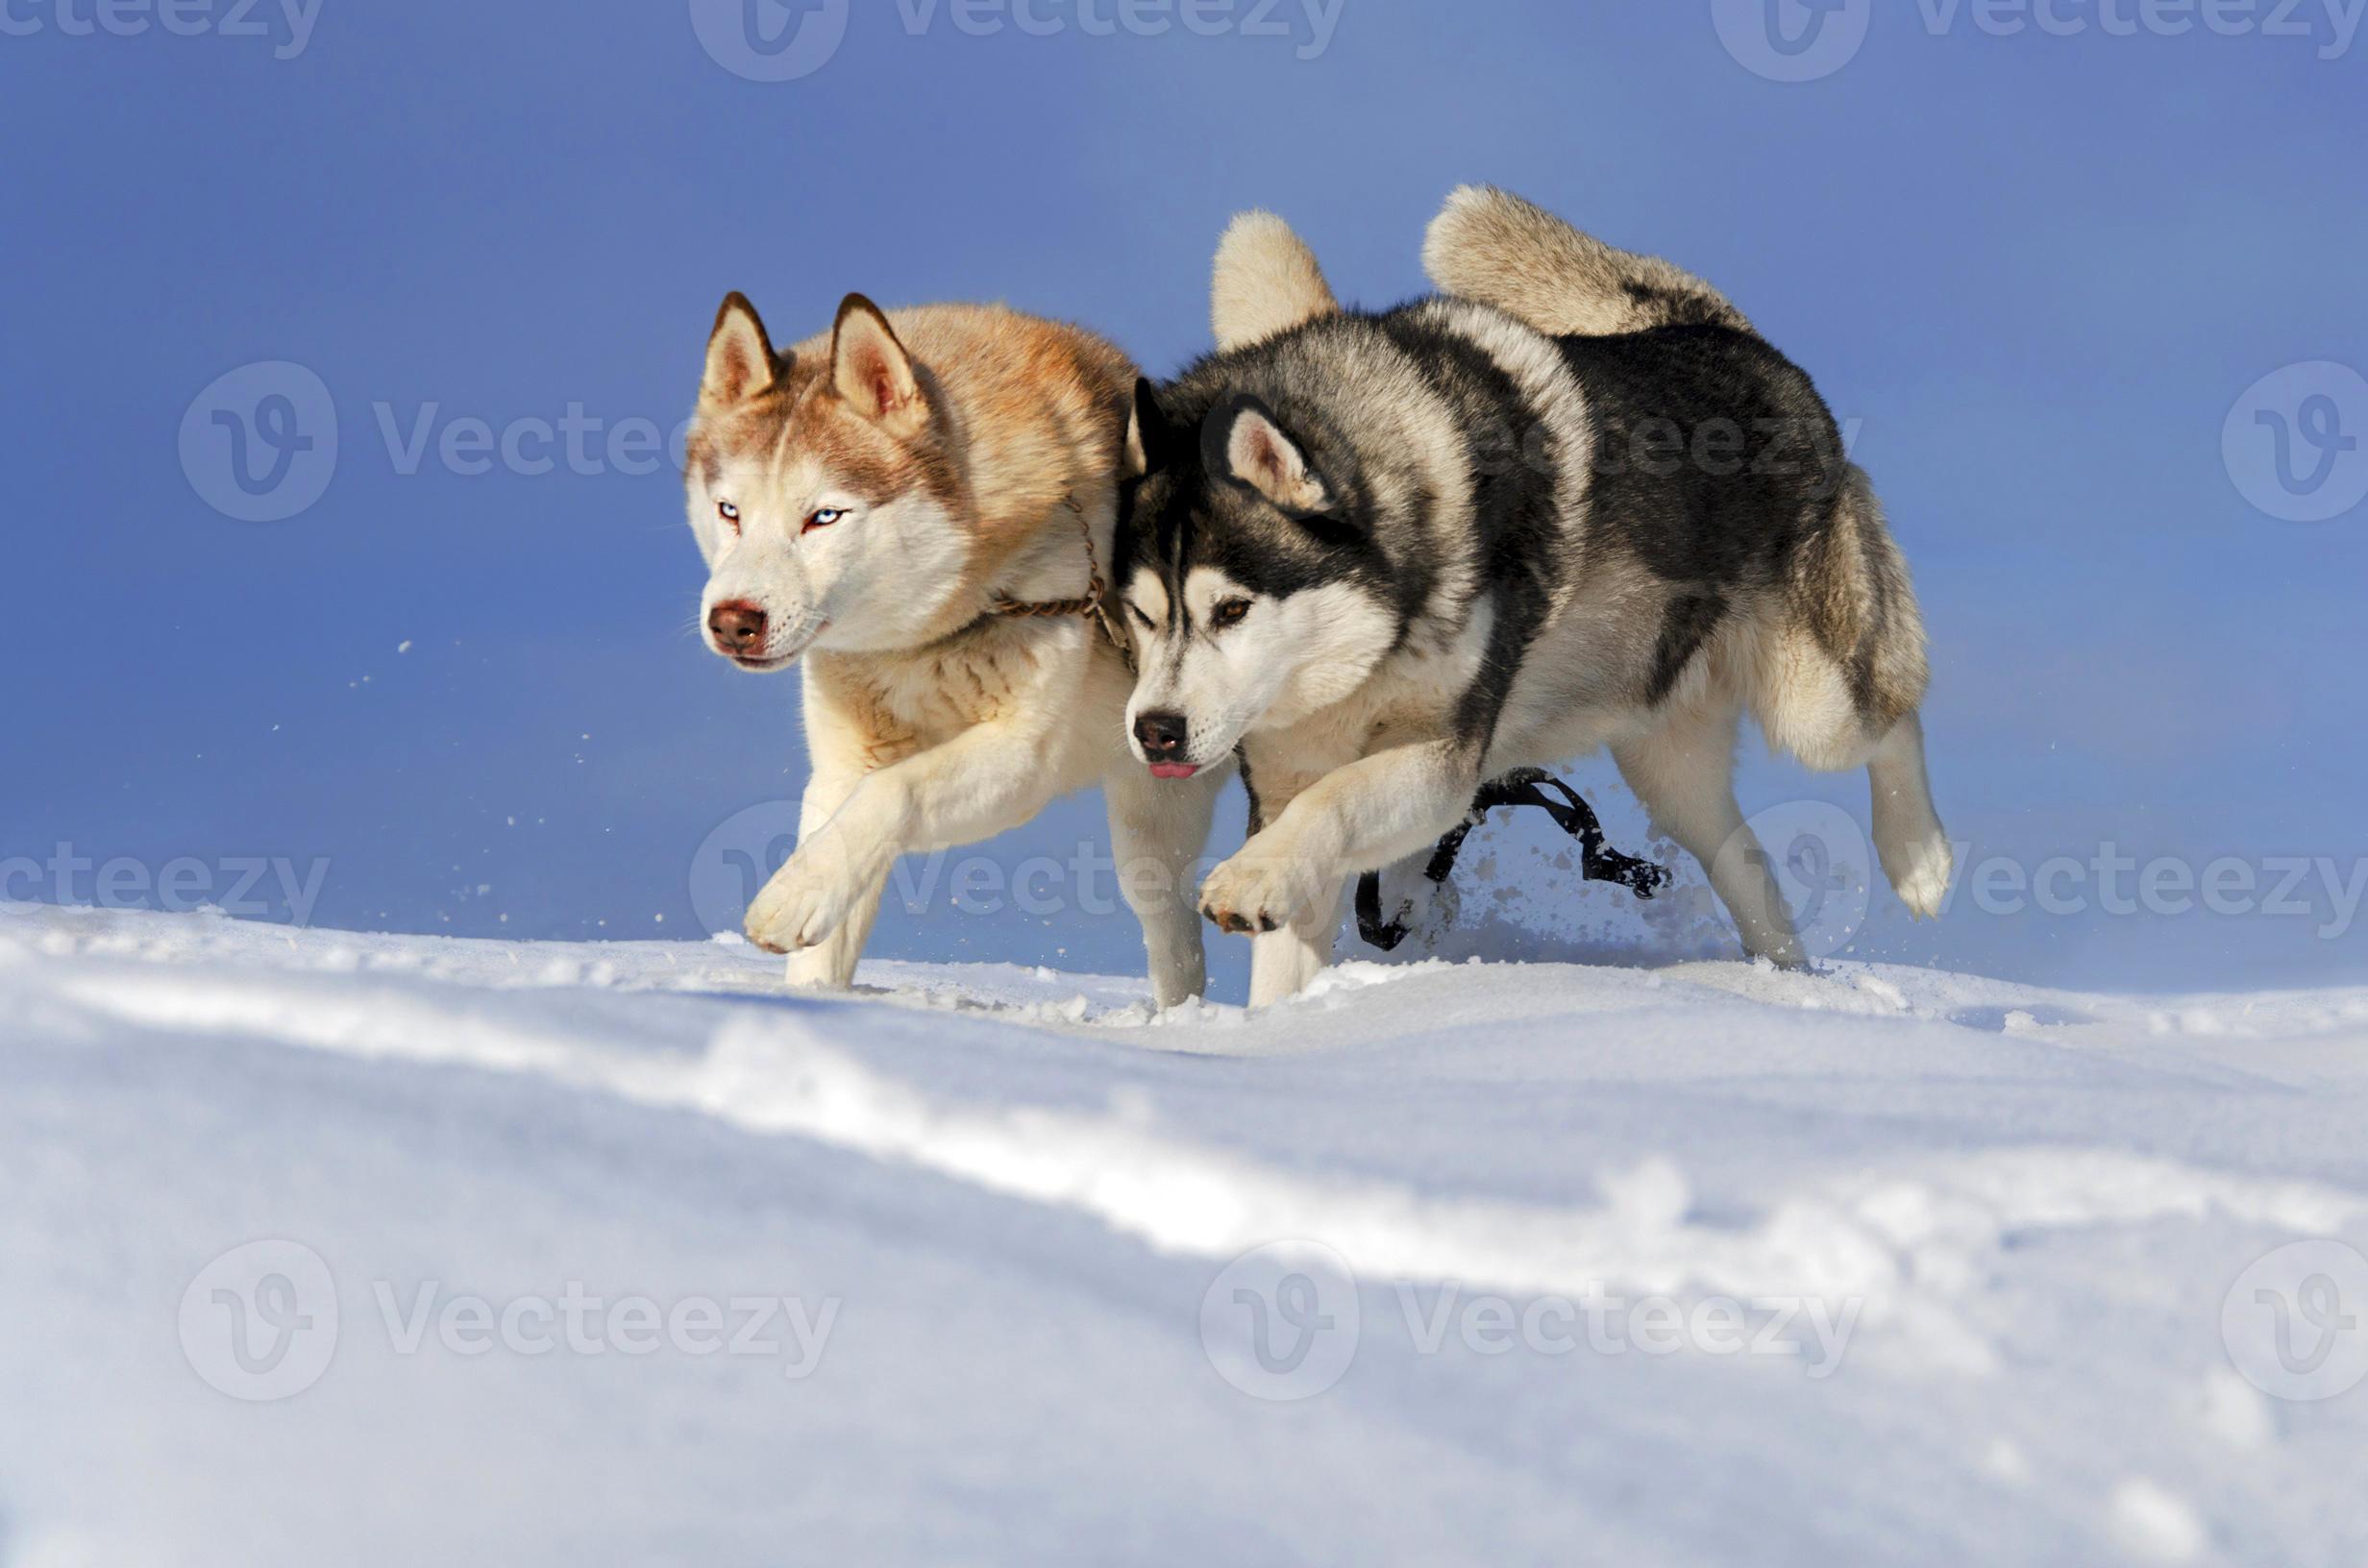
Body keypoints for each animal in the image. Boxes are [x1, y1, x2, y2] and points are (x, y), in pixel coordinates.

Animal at [1118, 186, 1951, 1009]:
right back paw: (1787, 986)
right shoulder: (1288, 775)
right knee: (1744, 862)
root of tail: (1716, 328)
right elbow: (1296, 899)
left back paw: (1920, 862)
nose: (1155, 731)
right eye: (1143, 615)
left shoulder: (1446, 763)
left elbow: (1339, 800)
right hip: (1667, 761)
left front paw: (1248, 878)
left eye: (1232, 609)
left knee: (1895, 720)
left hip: (1815, 706)